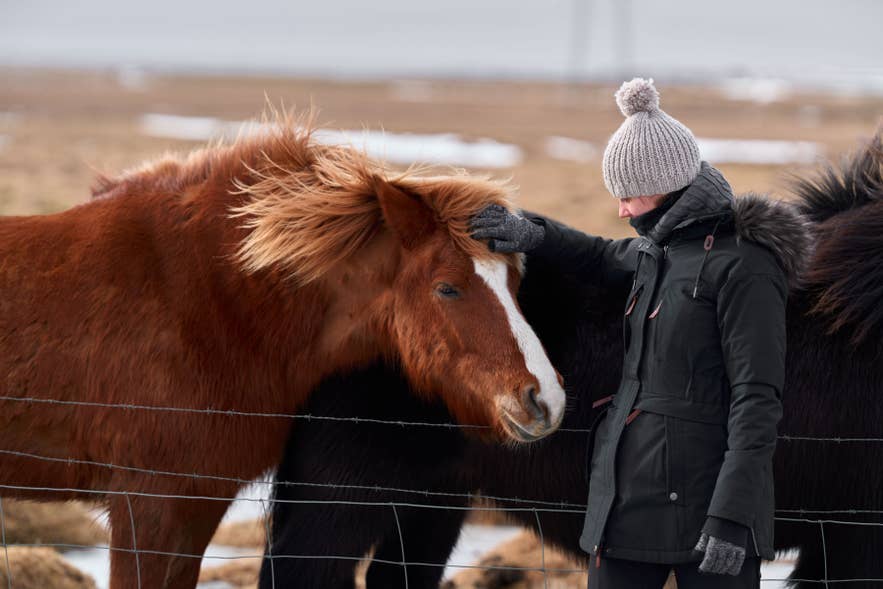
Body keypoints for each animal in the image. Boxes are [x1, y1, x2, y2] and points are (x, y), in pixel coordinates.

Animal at [0, 114, 567, 589]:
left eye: (515, 283)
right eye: (447, 288)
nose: (545, 400)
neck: (208, 301)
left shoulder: (196, 505)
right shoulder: (149, 507)